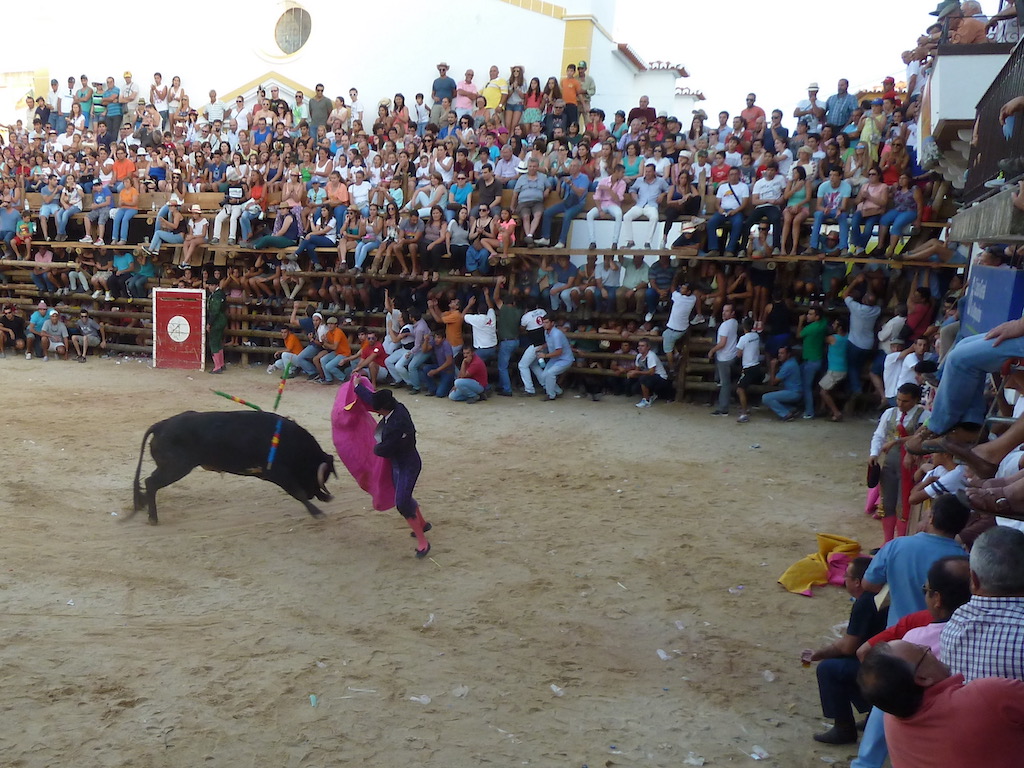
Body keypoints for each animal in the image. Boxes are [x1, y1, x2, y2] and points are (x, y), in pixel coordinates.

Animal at [130, 411, 337, 528]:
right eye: (316, 475)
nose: (323, 496)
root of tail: (161, 425)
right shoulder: (278, 473)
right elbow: (297, 492)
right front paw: (318, 513)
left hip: (170, 467)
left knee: (149, 482)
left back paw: (143, 505)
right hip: (176, 468)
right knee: (151, 482)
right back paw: (153, 518)